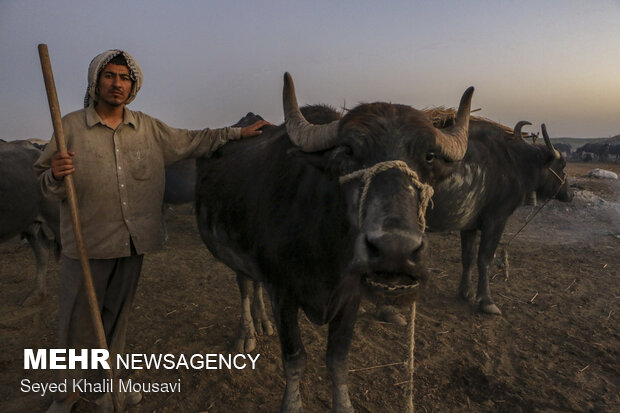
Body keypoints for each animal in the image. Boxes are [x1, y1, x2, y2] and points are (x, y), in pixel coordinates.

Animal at [195, 72, 474, 410]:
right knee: (246, 285)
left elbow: (338, 360)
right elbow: (295, 358)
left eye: (429, 156)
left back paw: (263, 323)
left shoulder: (350, 297)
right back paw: (247, 332)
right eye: (348, 151)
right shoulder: (283, 293)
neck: (326, 252)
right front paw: (291, 404)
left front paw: (343, 404)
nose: (395, 251)